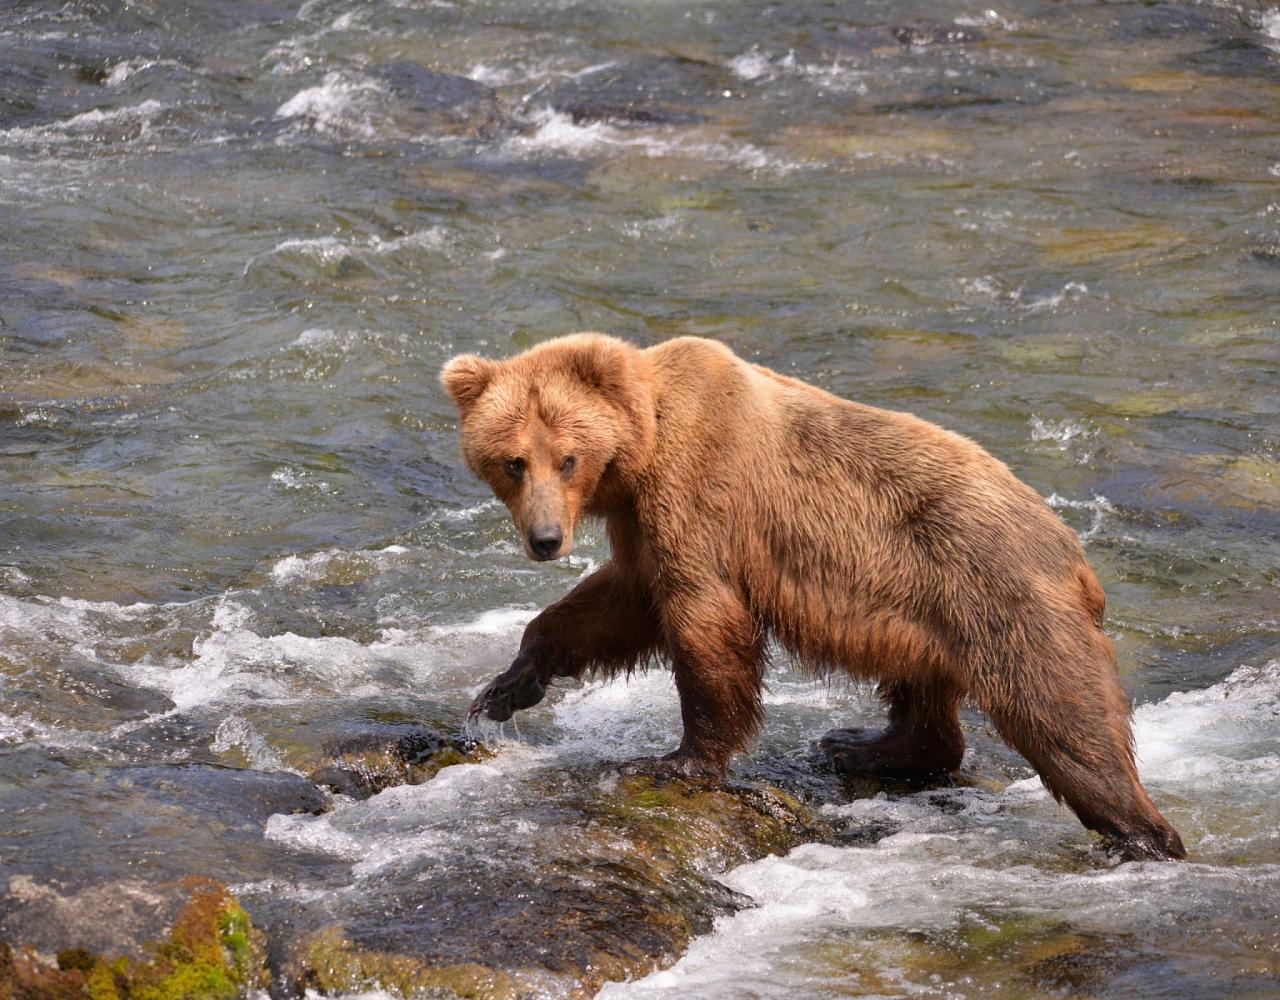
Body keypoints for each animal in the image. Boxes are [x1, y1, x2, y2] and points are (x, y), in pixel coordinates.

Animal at [442, 332, 1187, 860]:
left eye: (566, 457)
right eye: (514, 461)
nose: (545, 539)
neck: (642, 446)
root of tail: (1076, 553)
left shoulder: (699, 495)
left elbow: (703, 620)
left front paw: (676, 759)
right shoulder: (640, 523)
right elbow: (616, 604)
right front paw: (507, 686)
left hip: (1003, 599)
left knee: (1064, 715)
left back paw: (1143, 835)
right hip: (924, 608)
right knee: (926, 697)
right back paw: (864, 744)